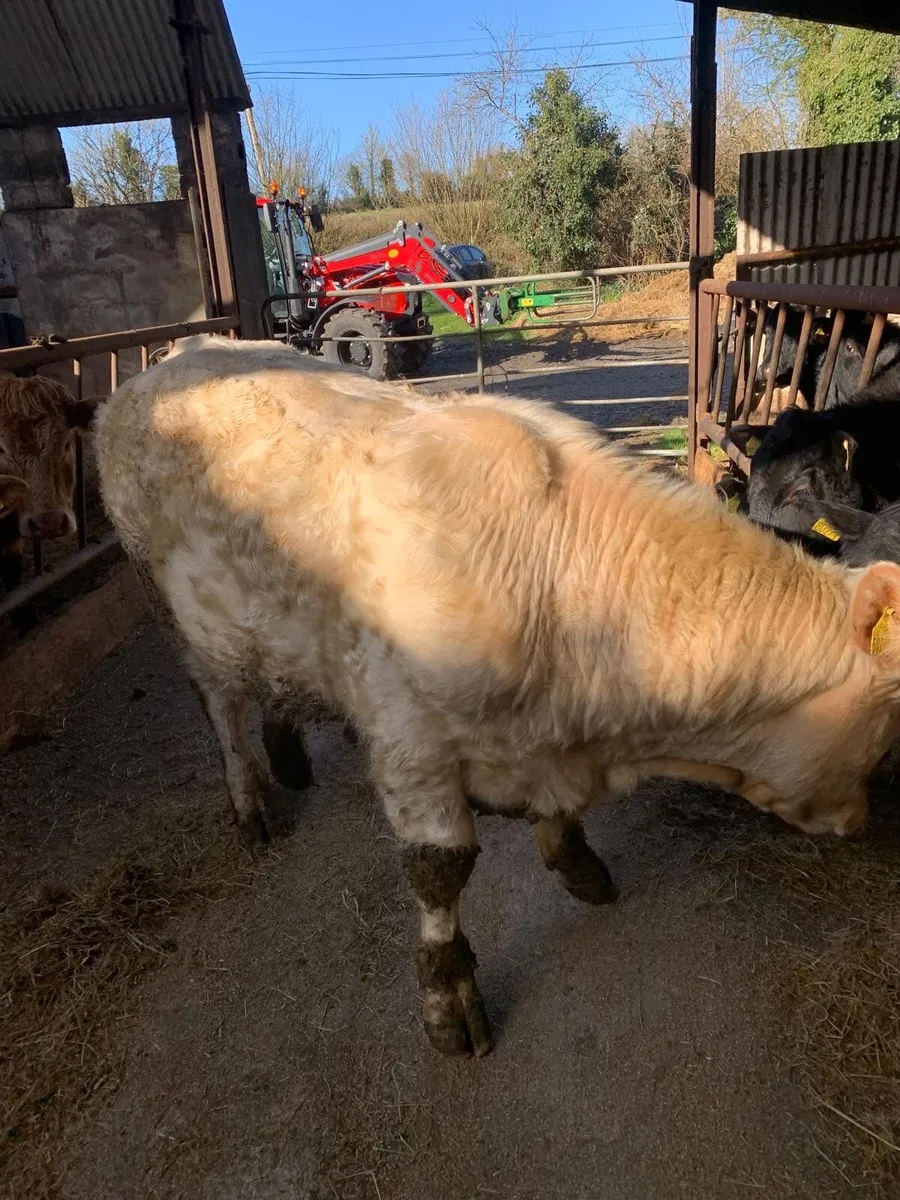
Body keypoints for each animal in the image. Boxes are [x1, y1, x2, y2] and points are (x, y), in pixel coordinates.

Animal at [95, 335, 900, 1057]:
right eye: (887, 736)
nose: (863, 822)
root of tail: (175, 355)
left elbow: (562, 823)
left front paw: (578, 863)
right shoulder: (410, 743)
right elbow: (440, 873)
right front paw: (448, 1002)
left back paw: (290, 752)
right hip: (176, 612)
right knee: (220, 706)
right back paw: (253, 799)